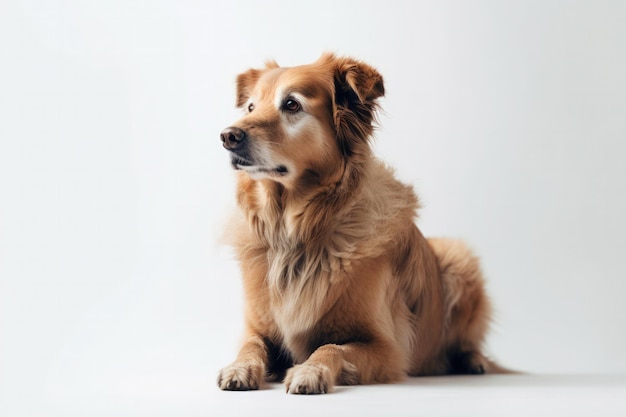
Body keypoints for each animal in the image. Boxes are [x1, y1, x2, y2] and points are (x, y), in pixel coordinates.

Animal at [217, 52, 500, 394]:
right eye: (250, 108)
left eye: (292, 104)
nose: (227, 136)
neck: (297, 231)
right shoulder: (257, 329)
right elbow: (251, 346)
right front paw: (239, 367)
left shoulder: (386, 347)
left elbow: (331, 348)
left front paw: (310, 371)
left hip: (459, 259)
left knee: (465, 342)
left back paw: (474, 361)